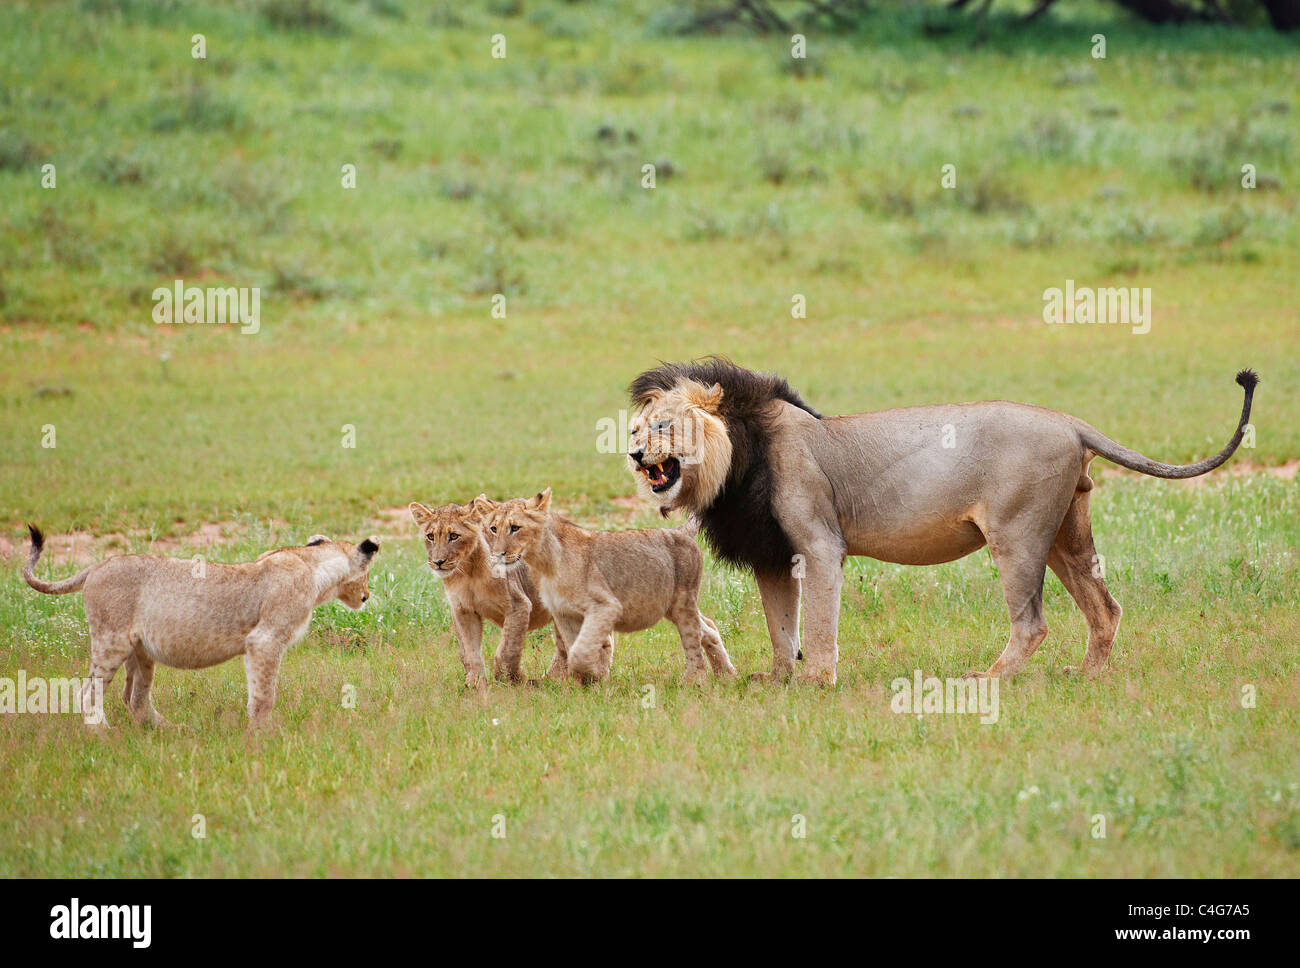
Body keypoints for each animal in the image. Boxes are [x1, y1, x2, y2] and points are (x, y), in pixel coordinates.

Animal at [23, 525, 378, 729]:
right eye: (367, 574)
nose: (366, 595)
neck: (311, 563)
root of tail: (97, 565)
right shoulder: (265, 640)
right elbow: (265, 694)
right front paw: (263, 736)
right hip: (111, 641)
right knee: (88, 693)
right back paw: (103, 734)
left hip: (141, 650)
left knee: (136, 699)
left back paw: (170, 730)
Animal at [410, 496, 579, 690]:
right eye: (430, 536)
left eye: (453, 536)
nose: (438, 562)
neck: (467, 572)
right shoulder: (463, 611)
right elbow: (469, 652)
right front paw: (475, 685)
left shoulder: (518, 605)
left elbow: (507, 650)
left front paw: (514, 679)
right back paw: (551, 680)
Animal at [481, 489, 736, 684]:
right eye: (493, 528)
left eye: (515, 527)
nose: (498, 554)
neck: (544, 563)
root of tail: (678, 531)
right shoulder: (564, 613)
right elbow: (573, 647)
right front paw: (588, 682)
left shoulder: (605, 606)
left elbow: (580, 651)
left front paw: (594, 675)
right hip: (672, 606)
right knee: (709, 628)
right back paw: (727, 675)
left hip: (683, 601)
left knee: (693, 642)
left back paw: (694, 681)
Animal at [627, 358, 1259, 684]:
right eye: (636, 429)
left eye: (663, 427)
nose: (633, 454)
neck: (735, 460)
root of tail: (1070, 421)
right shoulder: (774, 554)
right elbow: (782, 626)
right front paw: (779, 680)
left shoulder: (820, 543)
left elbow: (820, 624)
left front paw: (819, 682)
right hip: (1064, 535)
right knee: (1105, 608)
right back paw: (1087, 676)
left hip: (1017, 535)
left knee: (1033, 623)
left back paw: (988, 680)